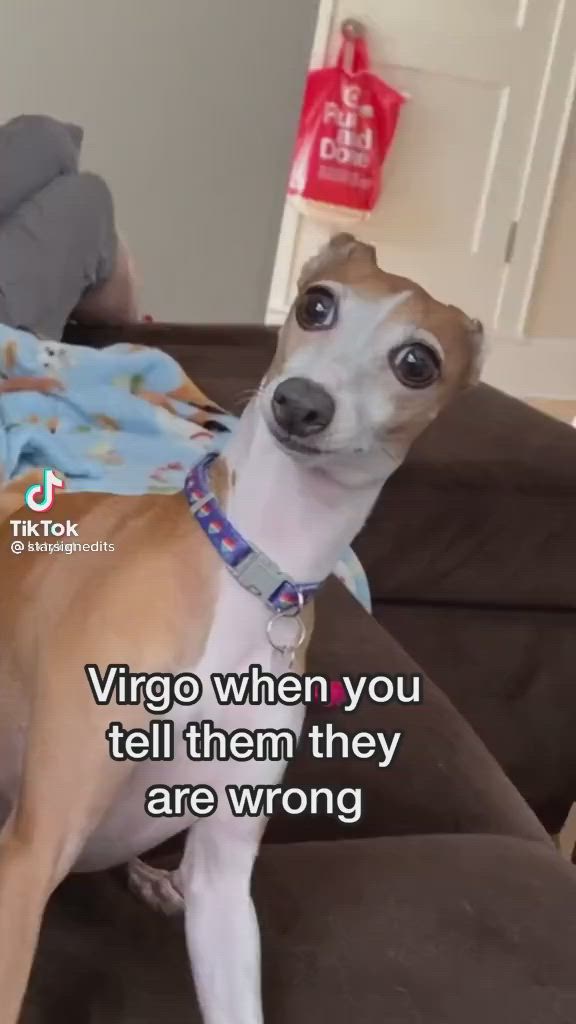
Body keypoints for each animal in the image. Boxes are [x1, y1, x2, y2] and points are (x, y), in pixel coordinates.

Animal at [0, 234, 481, 1024]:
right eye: (316, 304)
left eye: (417, 362)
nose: (301, 403)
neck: (252, 569)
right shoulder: (32, 853)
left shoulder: (226, 882)